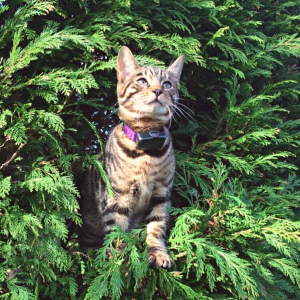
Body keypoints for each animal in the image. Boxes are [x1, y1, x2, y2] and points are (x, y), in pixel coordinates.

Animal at [77, 47, 184, 270]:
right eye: (142, 81)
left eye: (167, 84)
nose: (158, 91)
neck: (147, 153)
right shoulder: (118, 197)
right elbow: (117, 234)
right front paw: (119, 262)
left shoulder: (162, 192)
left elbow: (157, 226)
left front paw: (158, 253)